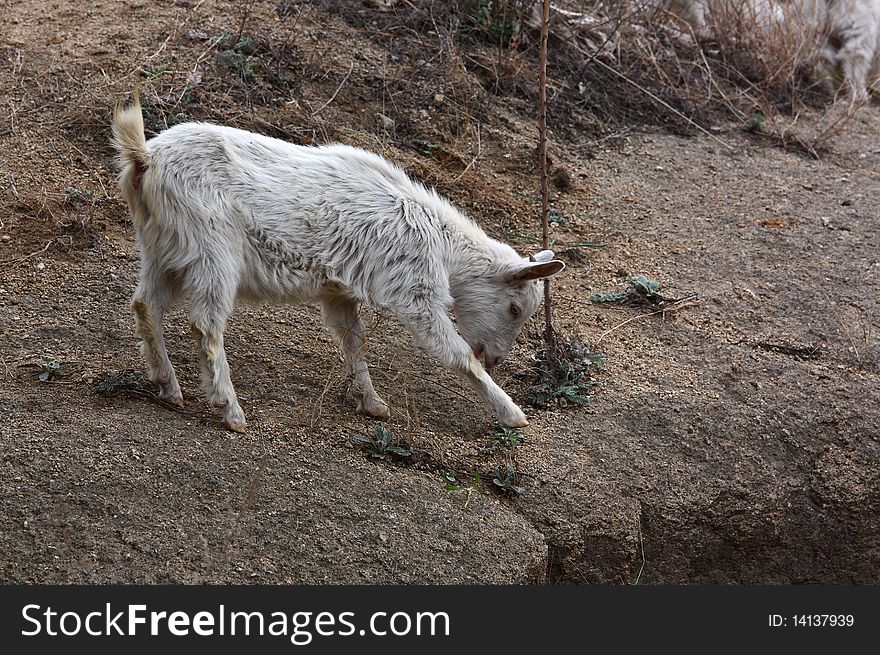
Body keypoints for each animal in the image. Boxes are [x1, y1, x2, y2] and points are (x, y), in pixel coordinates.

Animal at [111, 96, 564, 430]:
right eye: (515, 308)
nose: (496, 359)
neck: (442, 241)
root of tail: (145, 158)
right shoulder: (415, 291)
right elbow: (455, 354)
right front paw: (512, 413)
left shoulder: (339, 292)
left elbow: (352, 339)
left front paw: (371, 401)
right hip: (213, 249)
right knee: (205, 325)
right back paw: (229, 408)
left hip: (162, 248)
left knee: (145, 304)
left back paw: (167, 383)